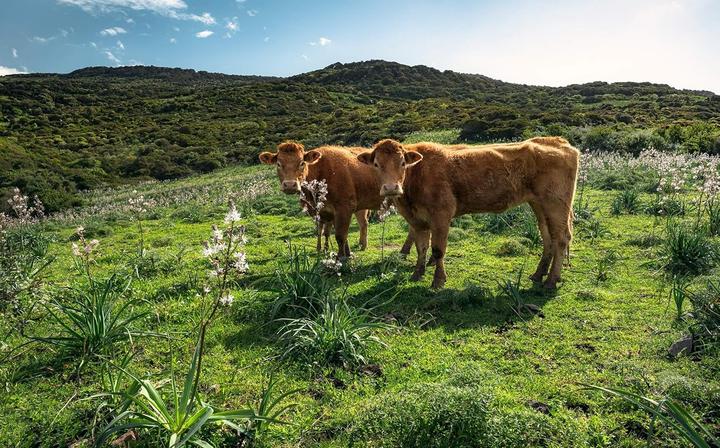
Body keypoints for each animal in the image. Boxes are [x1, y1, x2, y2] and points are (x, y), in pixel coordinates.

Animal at [259, 141, 416, 257]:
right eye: (278, 164)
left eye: (302, 163)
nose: (290, 185)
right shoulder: (327, 212)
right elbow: (334, 233)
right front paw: (346, 253)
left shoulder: (343, 207)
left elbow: (340, 235)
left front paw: (341, 258)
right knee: (364, 223)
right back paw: (364, 245)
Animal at [357, 137, 579, 289]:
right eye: (376, 164)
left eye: (403, 163)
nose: (391, 188)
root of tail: (558, 141)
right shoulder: (417, 220)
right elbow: (421, 248)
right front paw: (417, 274)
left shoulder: (441, 215)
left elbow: (437, 250)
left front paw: (438, 280)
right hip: (540, 205)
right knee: (548, 237)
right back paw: (539, 274)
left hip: (555, 204)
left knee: (561, 238)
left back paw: (551, 280)